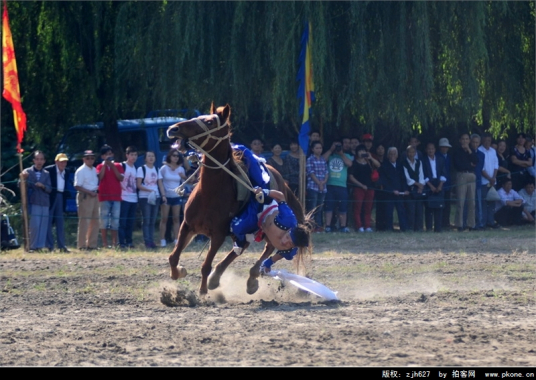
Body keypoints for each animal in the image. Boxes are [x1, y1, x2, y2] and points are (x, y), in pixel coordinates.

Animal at [165, 104, 308, 296]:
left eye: (209, 122)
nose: (174, 129)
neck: (209, 194)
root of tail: (281, 179)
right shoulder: (187, 226)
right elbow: (174, 257)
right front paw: (179, 272)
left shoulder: (218, 235)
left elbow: (205, 265)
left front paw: (202, 292)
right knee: (242, 247)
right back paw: (218, 278)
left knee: (267, 247)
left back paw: (250, 279)